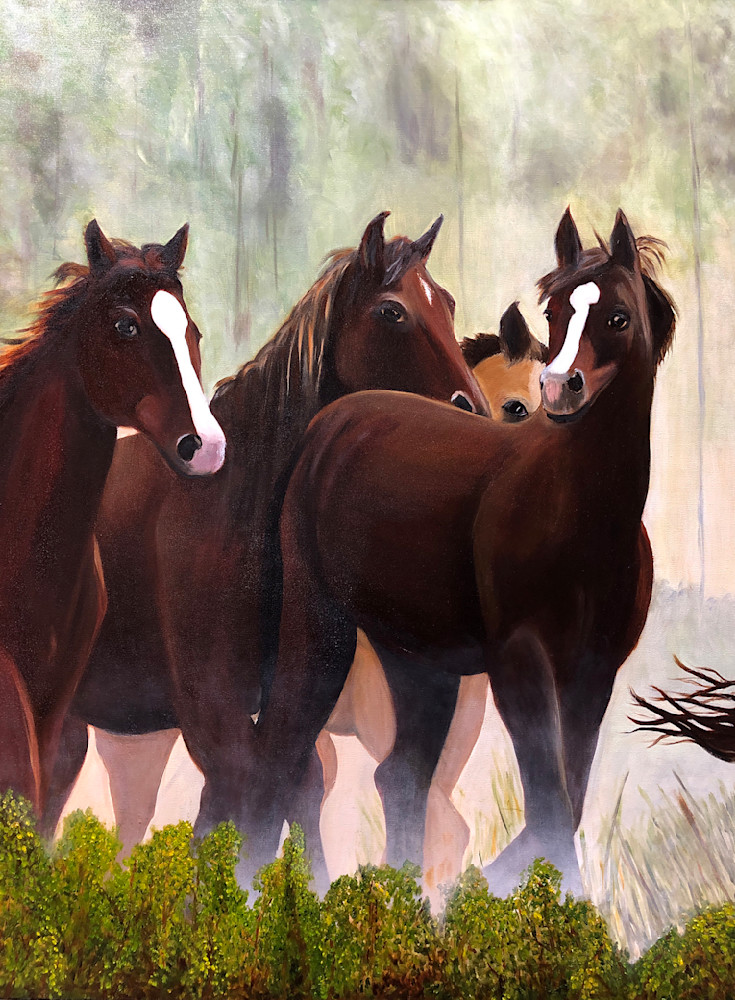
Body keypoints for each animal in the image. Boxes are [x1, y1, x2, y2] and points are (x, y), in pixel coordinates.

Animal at [45, 212, 489, 854]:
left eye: (448, 304)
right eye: (392, 311)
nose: (474, 411)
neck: (239, 506)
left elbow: (287, 796)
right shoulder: (213, 713)